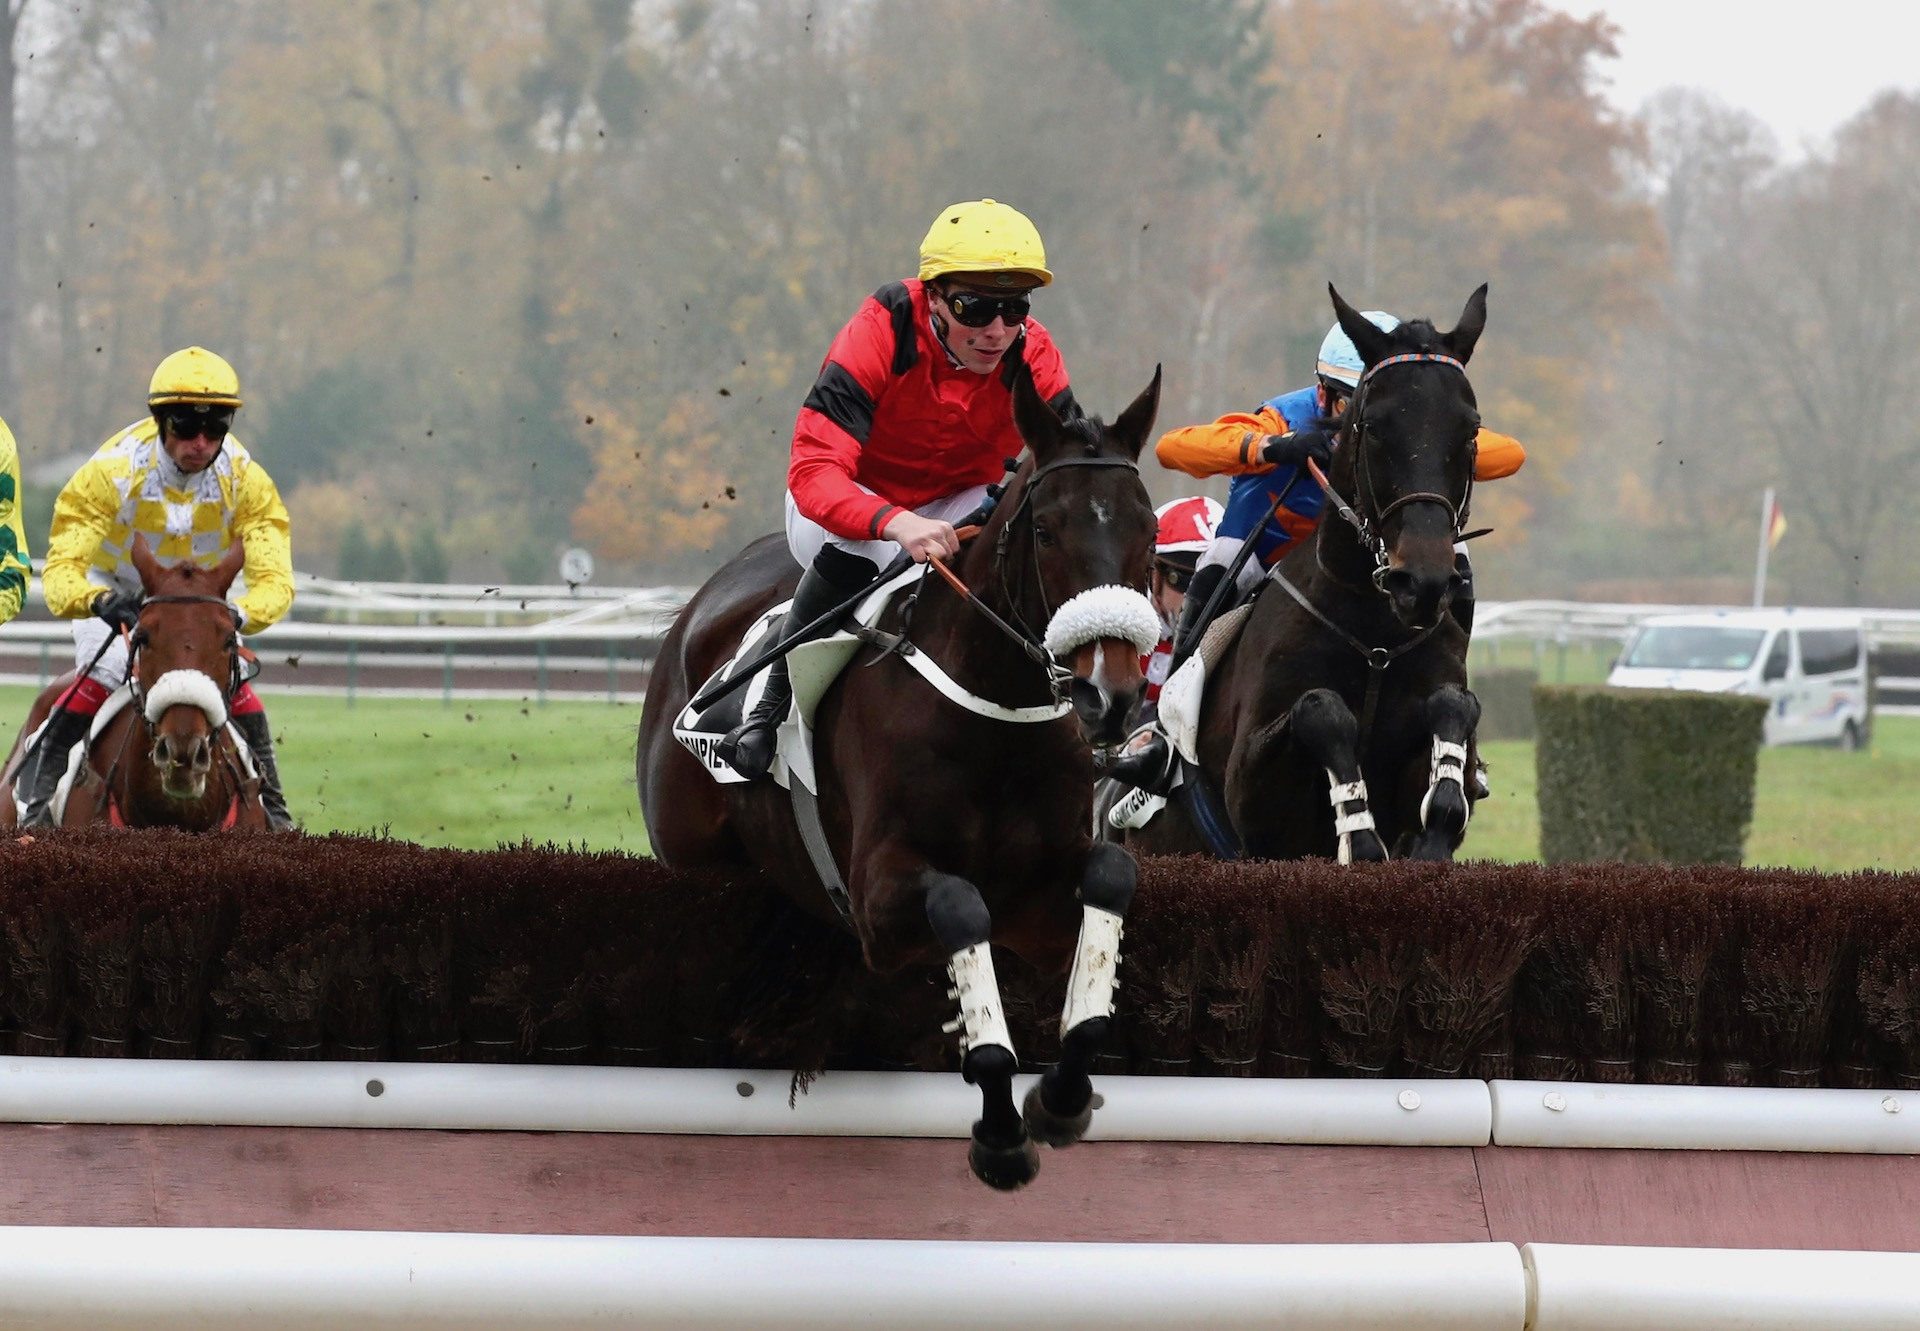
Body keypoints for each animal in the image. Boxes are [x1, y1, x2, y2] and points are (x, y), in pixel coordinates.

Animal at [637, 361, 1159, 1183]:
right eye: (1046, 530)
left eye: (1150, 531)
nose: (1112, 696)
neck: (991, 715)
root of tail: (690, 614)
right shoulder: (879, 898)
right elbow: (960, 907)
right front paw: (1000, 1131)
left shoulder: (1041, 901)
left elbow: (1111, 878)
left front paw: (1061, 1096)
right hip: (689, 855)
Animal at [1121, 282, 1489, 860]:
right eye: (1373, 426)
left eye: (1471, 430)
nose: (1422, 582)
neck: (1375, 636)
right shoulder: (1254, 799)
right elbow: (1319, 709)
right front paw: (1359, 835)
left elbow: (1453, 707)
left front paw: (1433, 826)